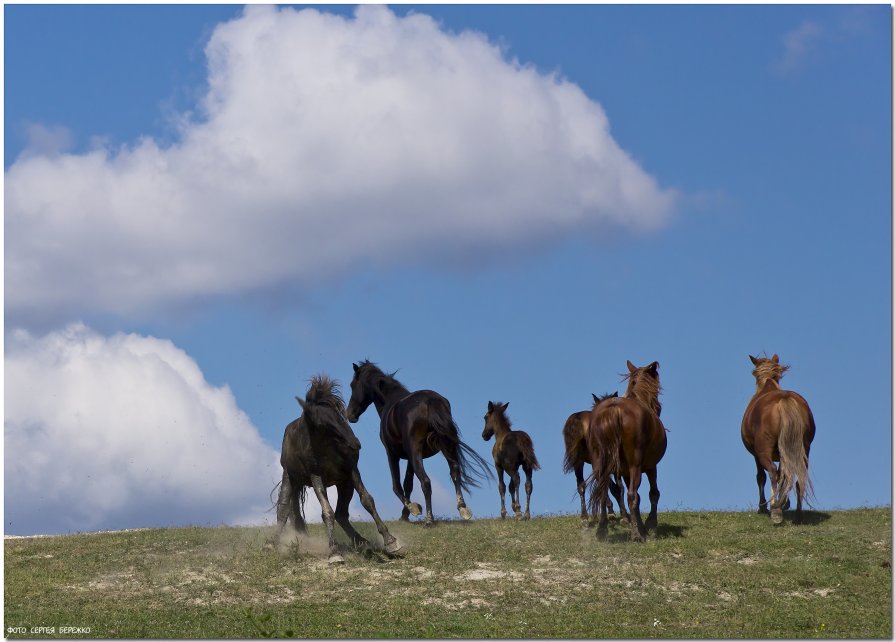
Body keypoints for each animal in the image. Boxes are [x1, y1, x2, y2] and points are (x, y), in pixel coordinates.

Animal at [346, 360, 494, 524]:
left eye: (352, 385)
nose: (349, 414)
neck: (390, 401)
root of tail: (430, 401)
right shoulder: (411, 457)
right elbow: (408, 484)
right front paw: (405, 515)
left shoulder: (392, 453)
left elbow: (397, 486)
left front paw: (413, 508)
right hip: (446, 447)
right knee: (455, 471)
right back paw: (462, 508)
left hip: (416, 451)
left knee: (425, 481)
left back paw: (429, 520)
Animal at [564, 390, 628, 524]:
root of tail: (578, 418)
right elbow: (615, 487)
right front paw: (620, 513)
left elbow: (617, 487)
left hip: (579, 461)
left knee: (582, 485)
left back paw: (585, 516)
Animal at [588, 360, 664, 540]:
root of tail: (614, 409)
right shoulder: (651, 466)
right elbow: (653, 493)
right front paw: (650, 523)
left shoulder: (623, 472)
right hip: (635, 465)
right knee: (631, 495)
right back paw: (636, 535)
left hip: (601, 464)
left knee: (603, 492)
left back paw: (602, 530)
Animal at [740, 352, 816, 524]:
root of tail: (784, 400)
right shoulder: (784, 452)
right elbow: (784, 473)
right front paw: (785, 502)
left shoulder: (757, 454)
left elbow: (762, 476)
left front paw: (763, 506)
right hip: (803, 449)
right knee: (797, 477)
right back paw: (797, 514)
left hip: (763, 450)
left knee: (772, 471)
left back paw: (775, 509)